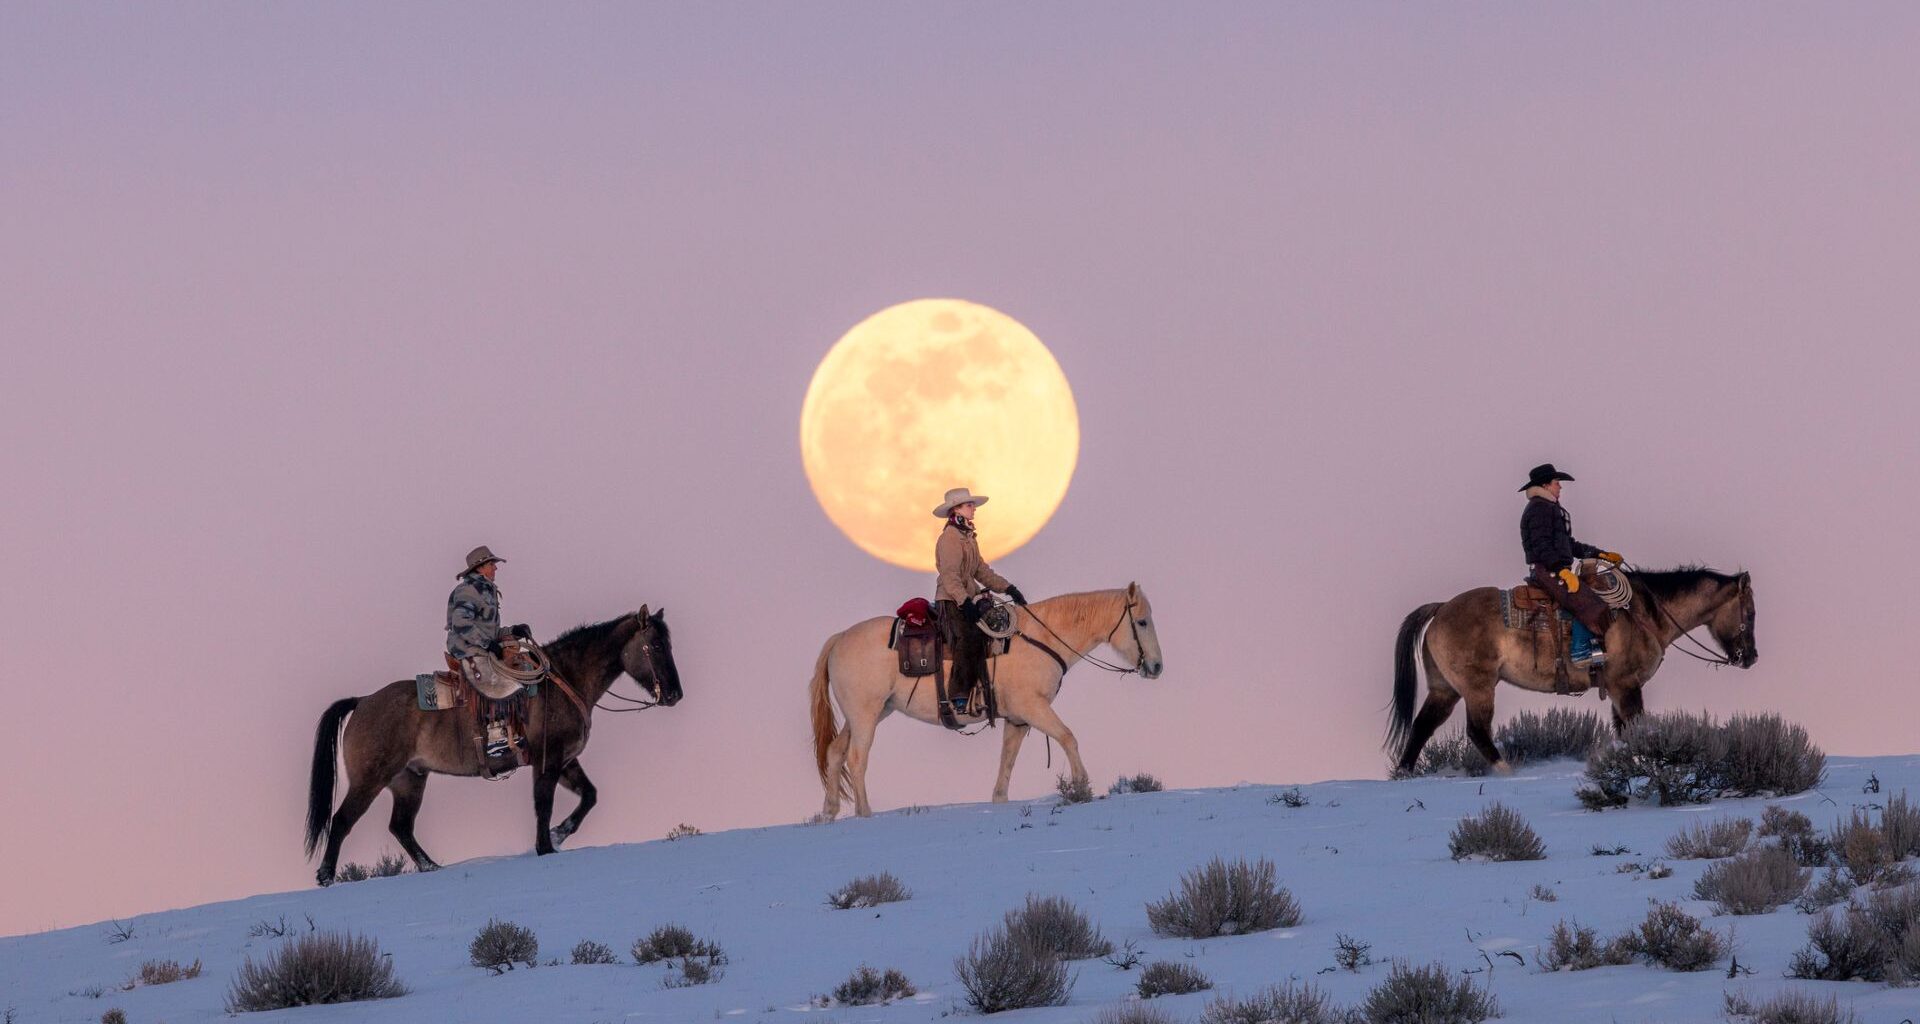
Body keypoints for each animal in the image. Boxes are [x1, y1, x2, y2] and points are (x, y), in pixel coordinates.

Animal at [304, 606, 682, 885]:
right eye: (656, 646)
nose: (675, 694)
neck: (564, 680)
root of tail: (362, 701)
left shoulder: (565, 761)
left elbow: (589, 795)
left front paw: (559, 835)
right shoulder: (548, 760)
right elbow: (543, 804)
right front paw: (546, 846)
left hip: (410, 779)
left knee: (401, 827)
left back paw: (432, 868)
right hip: (370, 779)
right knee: (342, 821)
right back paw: (326, 877)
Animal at [808, 584, 1164, 821]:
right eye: (1142, 622)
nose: (1157, 667)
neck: (1041, 639)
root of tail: (839, 639)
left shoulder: (1018, 719)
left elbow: (1007, 759)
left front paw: (999, 799)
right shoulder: (1034, 708)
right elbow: (1067, 737)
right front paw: (1081, 786)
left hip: (870, 713)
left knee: (835, 752)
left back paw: (829, 812)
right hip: (866, 715)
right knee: (857, 758)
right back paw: (865, 812)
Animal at [1386, 567, 1757, 775]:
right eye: (1750, 612)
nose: (1750, 657)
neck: (1643, 614)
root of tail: (1441, 608)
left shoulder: (1619, 689)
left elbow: (1624, 732)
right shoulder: (1626, 686)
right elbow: (1636, 728)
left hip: (1444, 689)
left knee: (1422, 726)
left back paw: (1405, 773)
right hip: (1478, 688)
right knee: (1476, 730)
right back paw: (1506, 771)